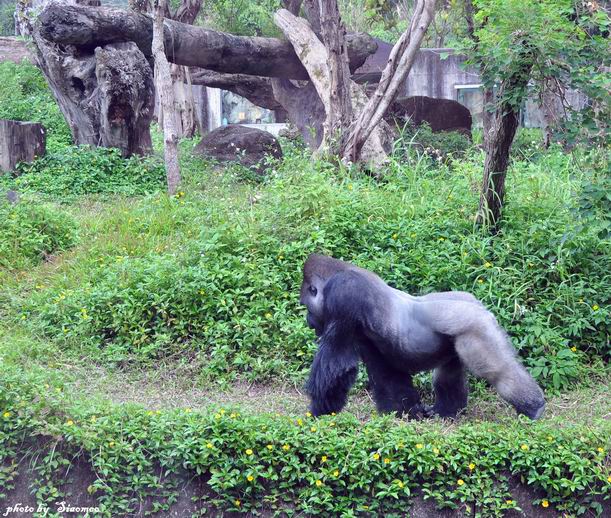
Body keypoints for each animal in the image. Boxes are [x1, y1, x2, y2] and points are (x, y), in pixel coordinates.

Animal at [302, 256, 544, 422]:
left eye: (306, 305)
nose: (308, 320)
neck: (339, 271)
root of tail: (481, 306)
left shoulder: (342, 294)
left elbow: (336, 364)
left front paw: (318, 412)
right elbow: (387, 375)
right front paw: (404, 413)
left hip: (476, 327)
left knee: (498, 370)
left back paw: (533, 407)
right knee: (448, 375)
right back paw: (445, 411)